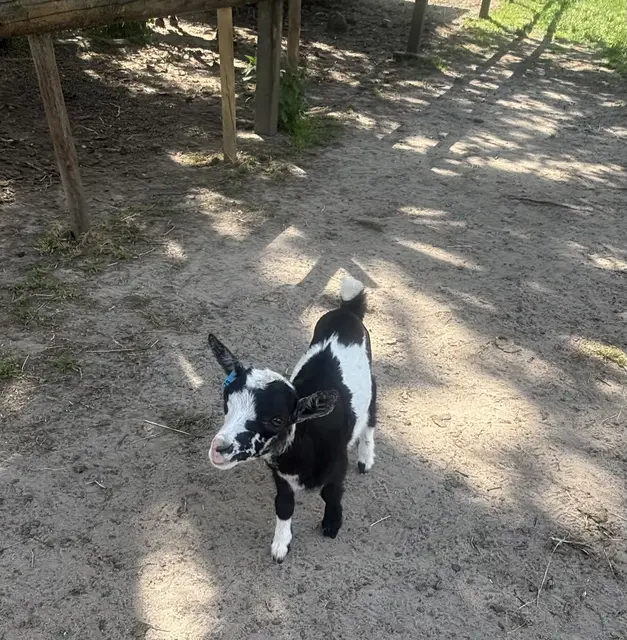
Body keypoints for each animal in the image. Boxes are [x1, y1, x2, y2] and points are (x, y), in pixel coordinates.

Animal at [207, 277, 377, 562]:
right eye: (226, 404)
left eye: (277, 420)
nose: (219, 449)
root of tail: (347, 311)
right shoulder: (280, 477)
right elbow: (284, 505)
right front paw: (280, 546)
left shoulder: (338, 467)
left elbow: (332, 495)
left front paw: (332, 525)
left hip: (372, 381)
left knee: (371, 419)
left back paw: (366, 459)